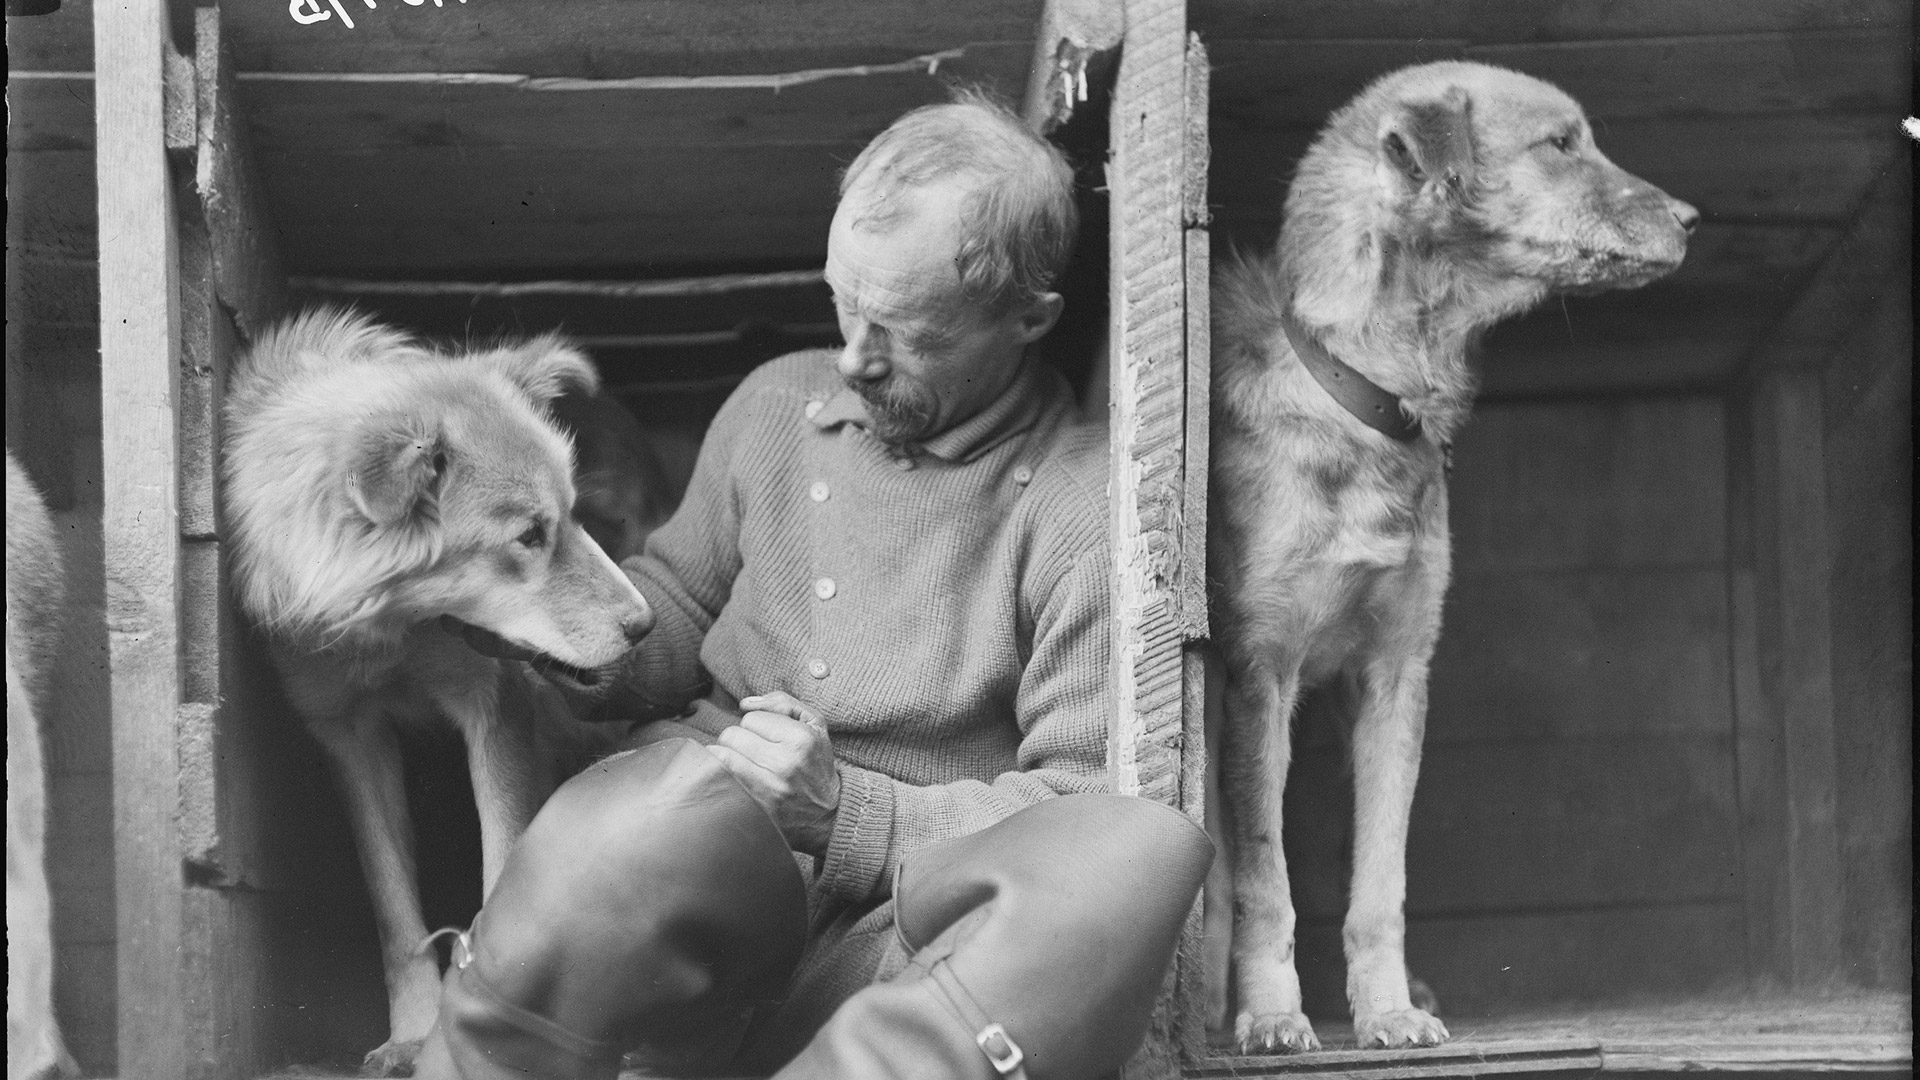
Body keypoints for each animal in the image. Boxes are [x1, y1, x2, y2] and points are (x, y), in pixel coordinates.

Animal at [1205, 61, 1689, 1053]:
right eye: (1561, 144)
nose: (1694, 217)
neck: (1365, 390)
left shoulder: (1395, 675)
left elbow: (1380, 882)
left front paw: (1386, 1010)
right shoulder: (1259, 673)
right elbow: (1262, 883)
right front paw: (1270, 1016)